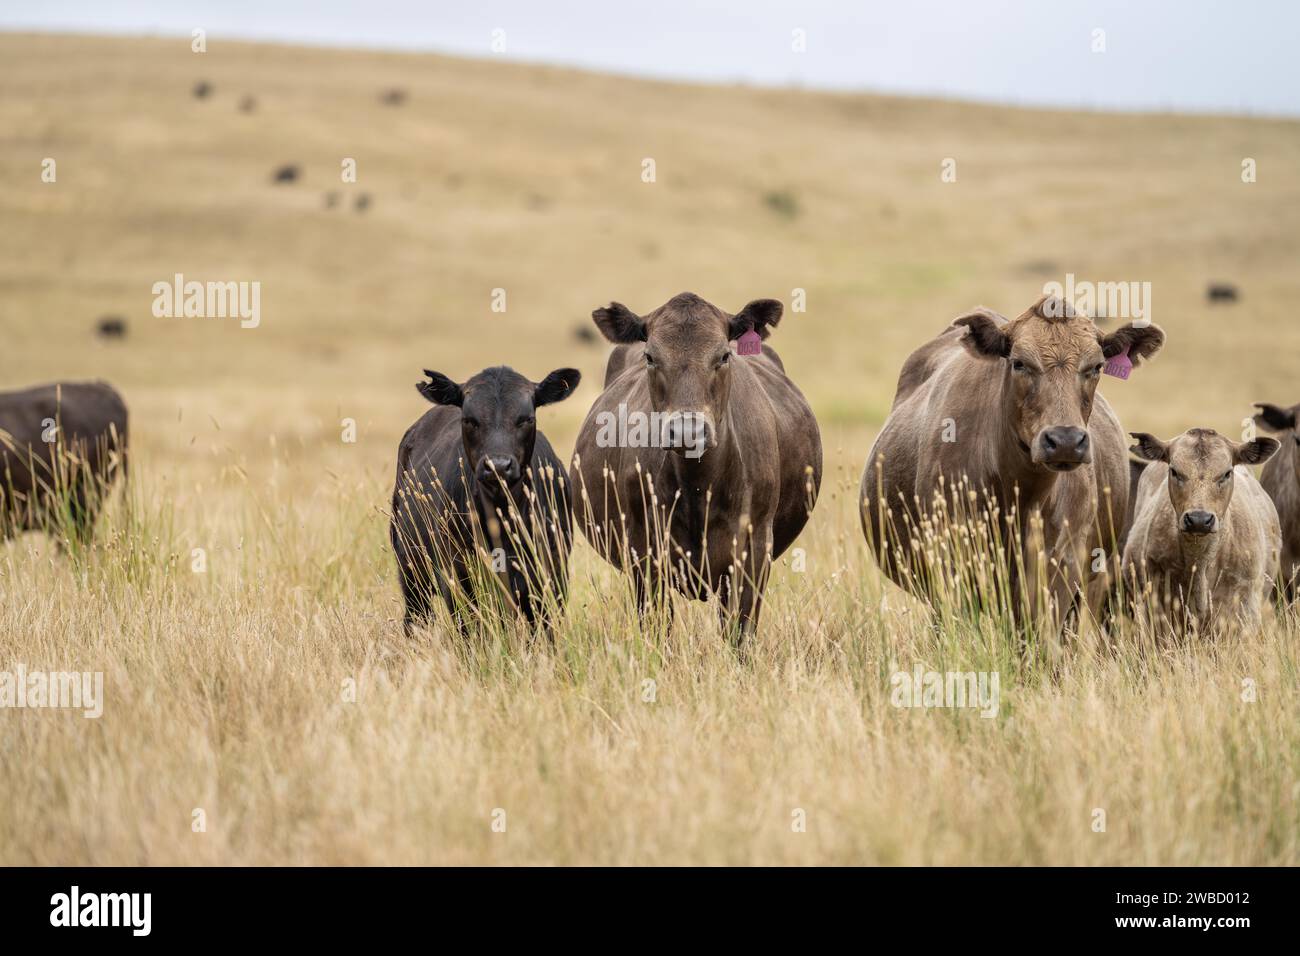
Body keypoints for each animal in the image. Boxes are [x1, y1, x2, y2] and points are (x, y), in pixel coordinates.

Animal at [389, 365, 581, 636]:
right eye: (469, 420)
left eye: (527, 418)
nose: (498, 465)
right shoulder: (458, 575)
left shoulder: (551, 574)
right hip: (411, 569)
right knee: (416, 619)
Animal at [570, 291, 822, 641]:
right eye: (650, 357)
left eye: (724, 355)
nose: (688, 431)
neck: (697, 486)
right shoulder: (644, 549)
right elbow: (657, 625)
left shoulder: (754, 547)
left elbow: (739, 630)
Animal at [859, 294, 1164, 641]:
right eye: (1019, 363)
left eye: (1096, 366)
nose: (1065, 440)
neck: (1020, 494)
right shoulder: (952, 561)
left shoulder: (1060, 568)